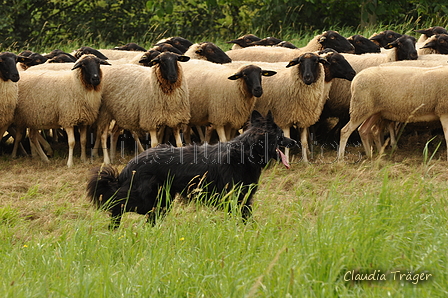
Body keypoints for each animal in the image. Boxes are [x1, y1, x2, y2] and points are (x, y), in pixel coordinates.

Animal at [87, 110, 298, 229]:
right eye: (281, 134)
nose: (294, 142)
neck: (246, 152)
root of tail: (131, 165)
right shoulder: (235, 198)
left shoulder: (243, 199)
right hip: (149, 200)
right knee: (117, 203)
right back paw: (114, 226)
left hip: (162, 203)